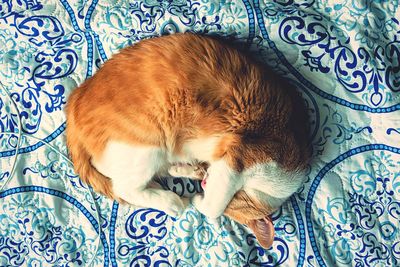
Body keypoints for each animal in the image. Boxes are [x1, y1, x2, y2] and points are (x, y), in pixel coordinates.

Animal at [65, 33, 310, 249]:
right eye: (231, 208)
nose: (203, 185)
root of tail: (75, 101)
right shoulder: (241, 157)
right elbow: (213, 207)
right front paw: (198, 200)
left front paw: (188, 171)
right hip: (147, 145)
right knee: (125, 188)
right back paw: (173, 202)